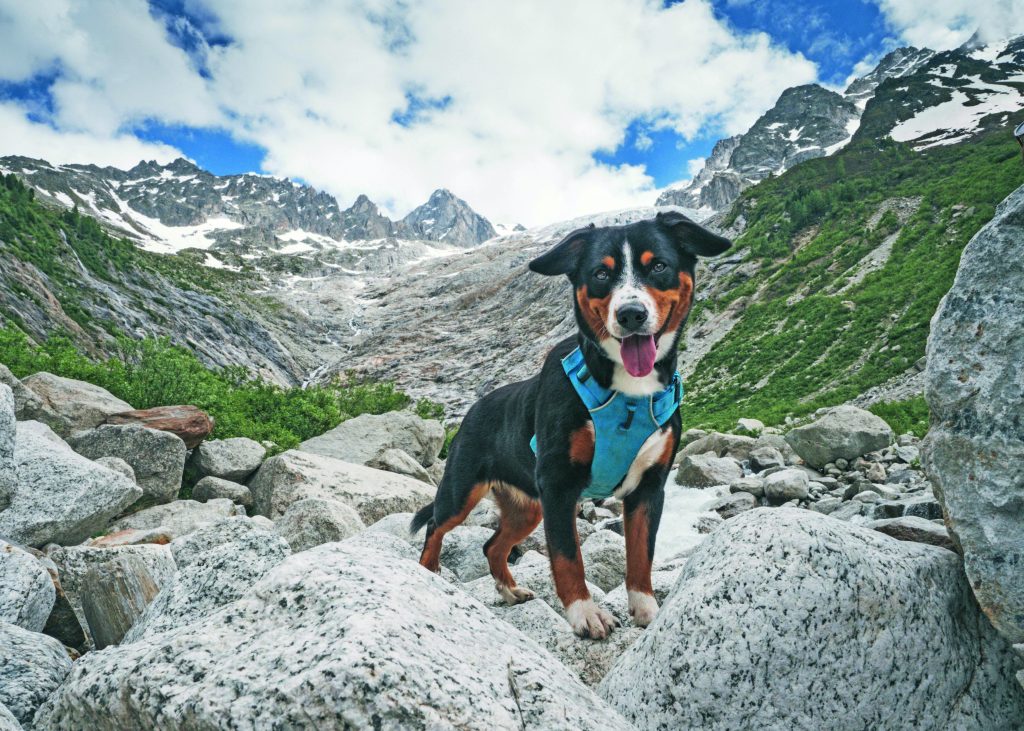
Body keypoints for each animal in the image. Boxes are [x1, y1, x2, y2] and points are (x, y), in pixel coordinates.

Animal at [411, 211, 733, 638]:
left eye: (659, 266)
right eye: (601, 273)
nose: (631, 314)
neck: (628, 394)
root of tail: (475, 409)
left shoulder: (648, 489)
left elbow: (641, 555)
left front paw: (646, 609)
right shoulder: (559, 485)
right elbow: (567, 556)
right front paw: (585, 613)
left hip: (528, 507)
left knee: (492, 546)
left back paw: (510, 591)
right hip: (461, 491)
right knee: (435, 525)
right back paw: (428, 573)